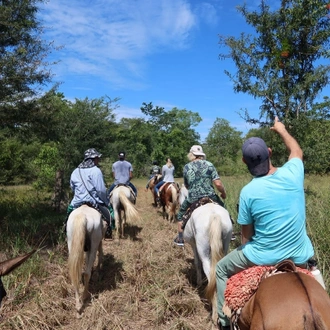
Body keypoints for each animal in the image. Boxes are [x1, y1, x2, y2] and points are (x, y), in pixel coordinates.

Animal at [178, 184, 232, 326]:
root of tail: (214, 216)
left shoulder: (193, 244)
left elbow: (197, 263)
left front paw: (198, 282)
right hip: (225, 244)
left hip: (204, 251)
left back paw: (214, 315)